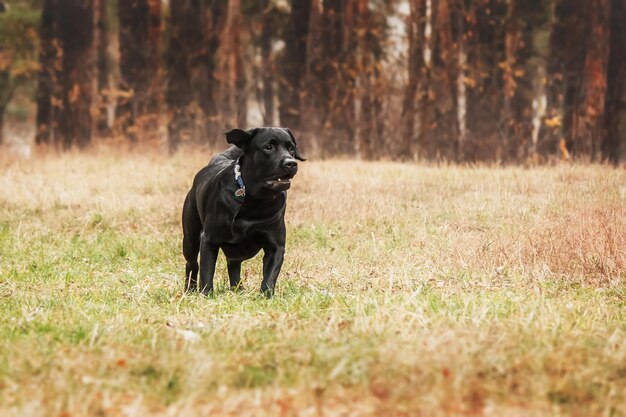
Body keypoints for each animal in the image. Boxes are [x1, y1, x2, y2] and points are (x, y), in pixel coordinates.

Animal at [180, 126, 304, 296]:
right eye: (268, 147)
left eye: (291, 148)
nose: (291, 163)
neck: (256, 201)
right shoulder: (209, 240)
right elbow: (207, 273)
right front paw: (206, 295)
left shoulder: (276, 246)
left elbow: (269, 277)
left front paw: (265, 297)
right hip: (190, 238)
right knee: (192, 264)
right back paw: (190, 290)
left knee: (233, 266)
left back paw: (237, 290)